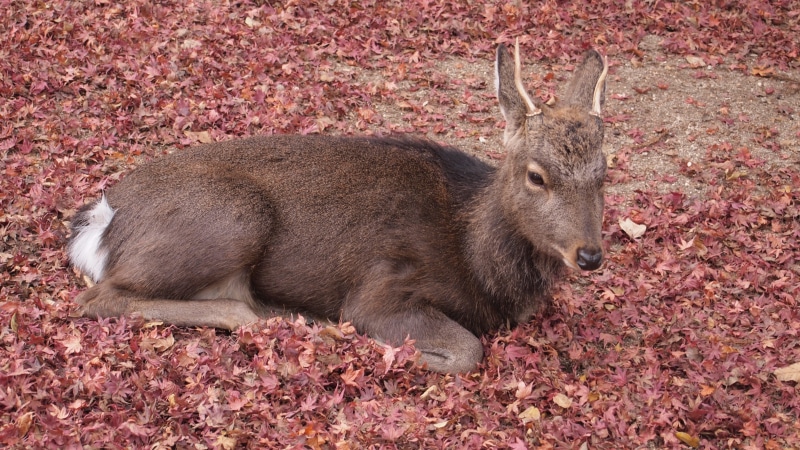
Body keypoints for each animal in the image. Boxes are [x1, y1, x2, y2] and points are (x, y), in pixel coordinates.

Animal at [68, 42, 608, 373]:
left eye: (604, 173)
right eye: (537, 175)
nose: (590, 254)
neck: (473, 257)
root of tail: (100, 219)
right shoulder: (383, 285)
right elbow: (466, 351)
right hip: (236, 217)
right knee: (99, 298)